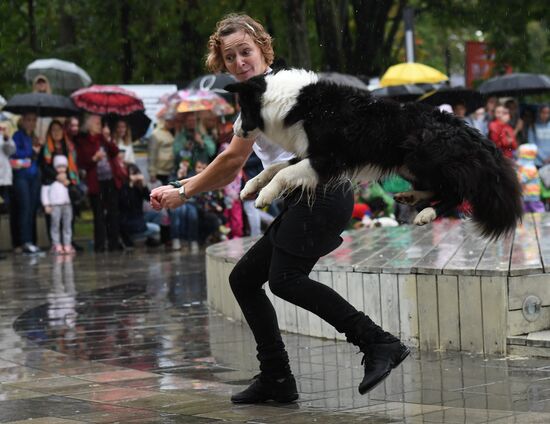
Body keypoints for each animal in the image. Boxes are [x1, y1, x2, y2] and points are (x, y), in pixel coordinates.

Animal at [226, 69, 524, 238]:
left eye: (242, 107)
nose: (234, 129)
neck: (295, 104)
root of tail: (475, 135)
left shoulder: (327, 159)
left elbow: (283, 173)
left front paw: (265, 196)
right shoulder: (310, 154)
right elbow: (273, 168)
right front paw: (249, 187)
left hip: (422, 154)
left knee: (455, 193)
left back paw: (427, 213)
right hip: (409, 164)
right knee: (438, 188)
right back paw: (411, 196)